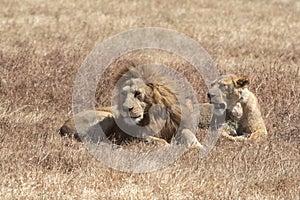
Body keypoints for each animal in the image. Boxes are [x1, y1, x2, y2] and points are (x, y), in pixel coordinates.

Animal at [59, 63, 203, 150]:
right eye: (123, 94)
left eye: (138, 93)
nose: (125, 108)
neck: (155, 116)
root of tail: (62, 127)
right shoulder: (139, 135)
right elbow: (157, 141)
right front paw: (172, 147)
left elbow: (188, 134)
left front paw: (198, 147)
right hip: (107, 116)